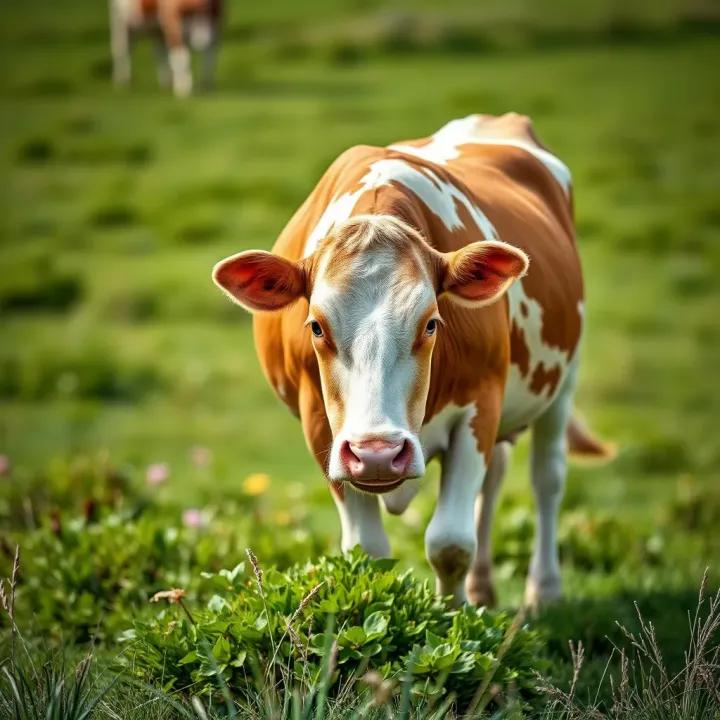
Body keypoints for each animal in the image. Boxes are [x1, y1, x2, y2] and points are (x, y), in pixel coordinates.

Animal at [212, 113, 615, 608]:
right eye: (316, 326)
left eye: (431, 324)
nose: (378, 453)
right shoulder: (321, 428)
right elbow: (367, 550)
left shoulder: (480, 406)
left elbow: (450, 543)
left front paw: (454, 615)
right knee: (497, 477)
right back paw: (484, 589)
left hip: (563, 380)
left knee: (547, 478)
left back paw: (544, 591)